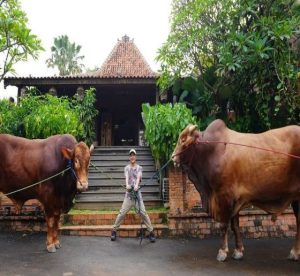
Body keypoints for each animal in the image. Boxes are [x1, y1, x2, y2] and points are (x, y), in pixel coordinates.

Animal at [171, 119, 300, 260]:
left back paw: (294, 252)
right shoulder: (236, 199)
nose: (173, 157)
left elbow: (223, 225)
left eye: (183, 139)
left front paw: (222, 252)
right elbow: (235, 226)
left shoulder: (223, 196)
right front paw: (238, 251)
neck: (210, 150)